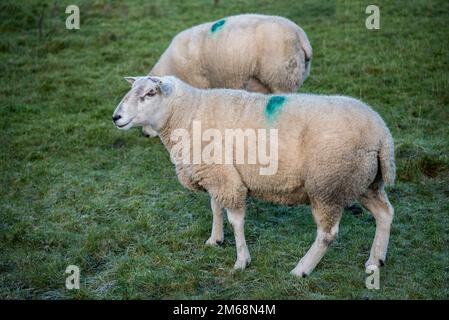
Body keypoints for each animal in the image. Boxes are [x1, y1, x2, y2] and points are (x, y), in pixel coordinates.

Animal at [112, 75, 396, 278]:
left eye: (149, 93)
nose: (116, 117)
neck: (188, 113)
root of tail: (382, 132)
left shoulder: (226, 179)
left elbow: (235, 220)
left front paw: (241, 261)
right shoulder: (218, 175)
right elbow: (215, 207)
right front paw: (215, 239)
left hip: (328, 185)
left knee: (327, 234)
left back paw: (301, 269)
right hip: (364, 181)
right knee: (385, 213)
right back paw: (375, 261)